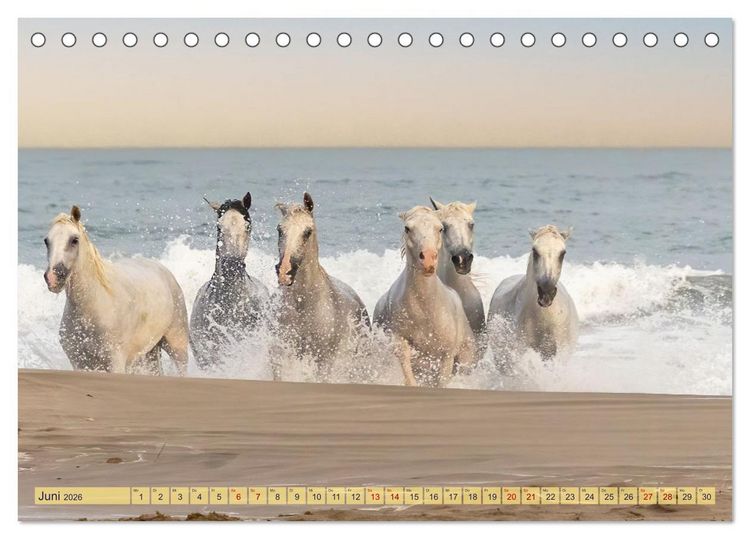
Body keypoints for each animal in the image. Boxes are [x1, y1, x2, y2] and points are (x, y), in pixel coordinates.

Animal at [43, 206, 189, 375]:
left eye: (74, 240)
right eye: (47, 241)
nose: (53, 277)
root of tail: (165, 271)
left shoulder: (115, 362)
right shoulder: (80, 363)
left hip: (177, 347)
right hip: (149, 352)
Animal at [273, 192, 370, 379]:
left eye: (307, 232)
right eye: (279, 230)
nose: (284, 272)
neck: (304, 303)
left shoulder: (324, 359)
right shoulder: (281, 352)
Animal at [373, 206, 476, 387]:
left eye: (440, 228)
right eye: (407, 228)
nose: (428, 260)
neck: (425, 308)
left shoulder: (447, 355)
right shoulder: (400, 343)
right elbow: (408, 375)